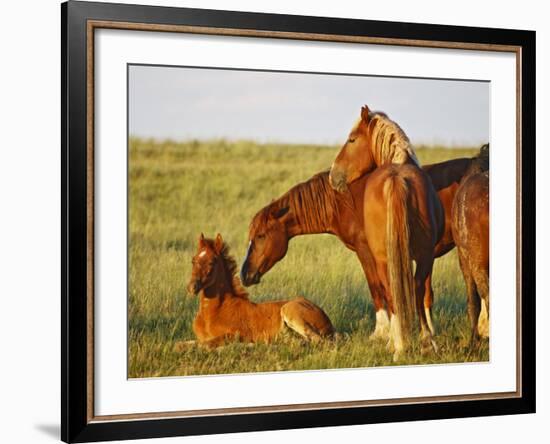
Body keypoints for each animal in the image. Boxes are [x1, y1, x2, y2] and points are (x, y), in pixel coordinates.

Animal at [185, 231, 334, 348]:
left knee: (319, 341)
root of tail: (328, 322)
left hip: (290, 311)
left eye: (212, 262)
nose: (192, 287)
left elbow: (206, 345)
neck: (212, 312)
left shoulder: (234, 334)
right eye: (193, 260)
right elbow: (183, 344)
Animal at [330, 106, 446, 360]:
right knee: (410, 289)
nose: (333, 175)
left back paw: (401, 343)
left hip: (389, 259)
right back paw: (418, 341)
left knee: (397, 291)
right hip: (417, 257)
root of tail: (397, 179)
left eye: (352, 139)